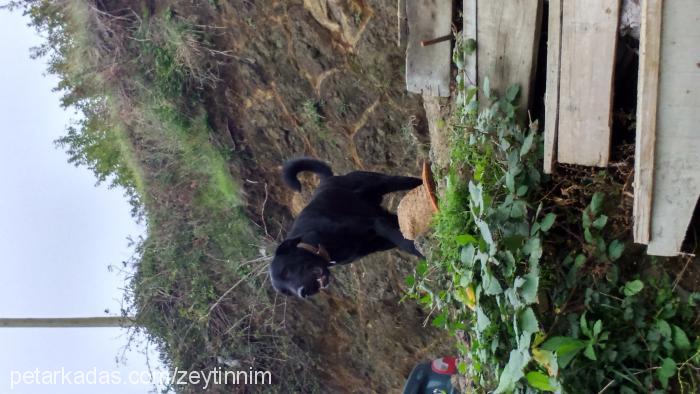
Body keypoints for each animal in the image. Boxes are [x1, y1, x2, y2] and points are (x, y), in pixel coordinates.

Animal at [266, 158, 422, 298]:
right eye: (287, 292)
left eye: (286, 271)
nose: (303, 292)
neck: (316, 243)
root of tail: (326, 180)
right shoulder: (379, 242)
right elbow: (404, 241)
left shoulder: (375, 224)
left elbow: (407, 244)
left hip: (381, 183)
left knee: (407, 181)